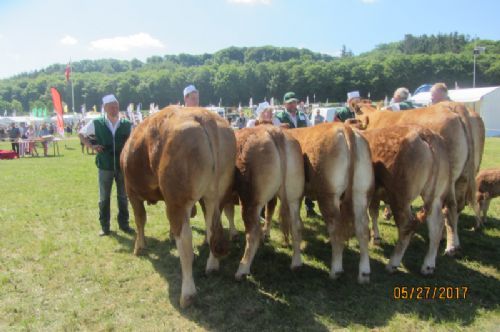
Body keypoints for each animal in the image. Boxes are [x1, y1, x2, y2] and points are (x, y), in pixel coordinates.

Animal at [122, 107, 237, 308]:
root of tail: (204, 117)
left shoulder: (132, 192)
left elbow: (140, 220)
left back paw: (187, 294)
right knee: (212, 228)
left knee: (185, 242)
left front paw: (139, 247)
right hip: (215, 196)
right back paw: (212, 266)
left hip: (178, 201)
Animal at [227, 126, 304, 278]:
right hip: (293, 197)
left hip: (250, 201)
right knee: (296, 226)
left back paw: (242, 269)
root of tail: (274, 131)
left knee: (253, 233)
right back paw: (296, 263)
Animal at [288, 123, 374, 284]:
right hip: (360, 193)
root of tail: (345, 128)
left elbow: (295, 225)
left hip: (328, 197)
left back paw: (336, 270)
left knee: (336, 229)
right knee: (363, 229)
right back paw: (364, 273)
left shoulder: (294, 194)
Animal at [362, 125, 452, 274]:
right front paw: (376, 237)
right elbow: (373, 212)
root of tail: (424, 133)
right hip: (436, 197)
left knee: (406, 226)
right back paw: (428, 265)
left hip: (400, 197)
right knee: (436, 225)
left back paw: (393, 263)